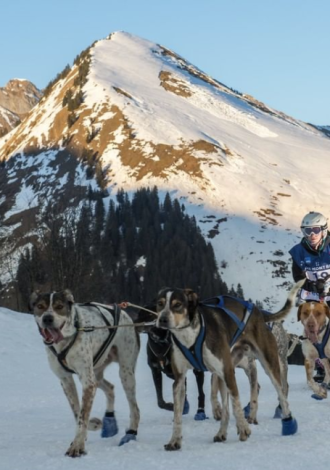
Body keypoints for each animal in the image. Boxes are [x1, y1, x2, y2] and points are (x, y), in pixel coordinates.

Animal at [28, 290, 141, 456]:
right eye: (40, 306)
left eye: (59, 306)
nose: (47, 318)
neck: (67, 338)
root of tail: (126, 314)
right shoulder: (66, 379)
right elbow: (77, 411)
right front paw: (91, 427)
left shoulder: (87, 382)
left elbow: (83, 415)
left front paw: (77, 445)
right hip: (97, 374)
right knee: (110, 388)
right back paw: (109, 421)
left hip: (125, 374)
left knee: (135, 408)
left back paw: (131, 432)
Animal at [155, 280, 302, 450]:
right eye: (160, 303)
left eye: (177, 304)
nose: (162, 319)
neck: (191, 337)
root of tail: (259, 312)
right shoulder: (179, 379)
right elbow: (178, 414)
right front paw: (174, 440)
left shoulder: (228, 372)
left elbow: (236, 402)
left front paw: (244, 429)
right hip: (224, 373)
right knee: (226, 407)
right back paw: (221, 433)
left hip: (269, 364)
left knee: (281, 392)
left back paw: (288, 423)